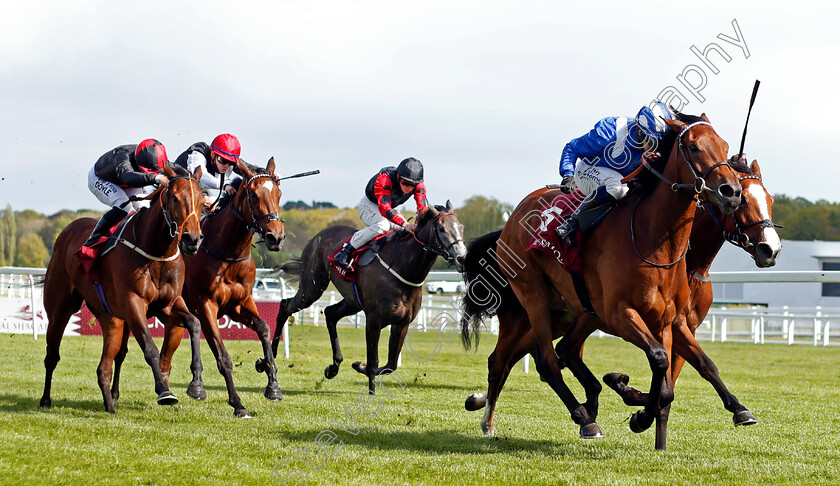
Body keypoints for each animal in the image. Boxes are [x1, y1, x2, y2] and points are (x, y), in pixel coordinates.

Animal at [41, 165, 206, 412]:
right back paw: (45, 399)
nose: (192, 240)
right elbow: (149, 347)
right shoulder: (133, 303)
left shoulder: (168, 305)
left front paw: (197, 385)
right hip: (60, 308)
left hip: (111, 319)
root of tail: (68, 230)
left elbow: (195, 324)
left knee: (110, 360)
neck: (156, 253)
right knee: (52, 355)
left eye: (203, 200)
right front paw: (164, 391)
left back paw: (110, 400)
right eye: (175, 198)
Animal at [156, 158, 288, 416]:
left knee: (167, 352)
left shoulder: (239, 304)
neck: (228, 254)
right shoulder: (205, 306)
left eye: (279, 193)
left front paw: (273, 385)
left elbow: (264, 328)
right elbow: (222, 356)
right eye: (253, 195)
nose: (276, 237)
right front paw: (237, 403)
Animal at [262, 201, 466, 394]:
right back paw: (268, 359)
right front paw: (371, 392)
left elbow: (391, 365)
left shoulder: (402, 323)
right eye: (441, 229)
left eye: (461, 227)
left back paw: (333, 366)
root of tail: (317, 237)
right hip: (312, 288)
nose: (462, 258)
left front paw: (359, 365)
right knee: (285, 305)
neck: (402, 267)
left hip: (352, 301)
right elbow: (374, 360)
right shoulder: (374, 319)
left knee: (330, 313)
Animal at [460, 114, 740, 448]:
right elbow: (659, 359)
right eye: (694, 147)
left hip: (566, 310)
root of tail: (512, 218)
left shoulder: (669, 321)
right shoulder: (620, 313)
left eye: (725, 146)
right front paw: (639, 414)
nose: (732, 191)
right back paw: (582, 419)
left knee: (535, 355)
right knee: (545, 362)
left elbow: (673, 381)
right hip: (533, 298)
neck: (653, 239)